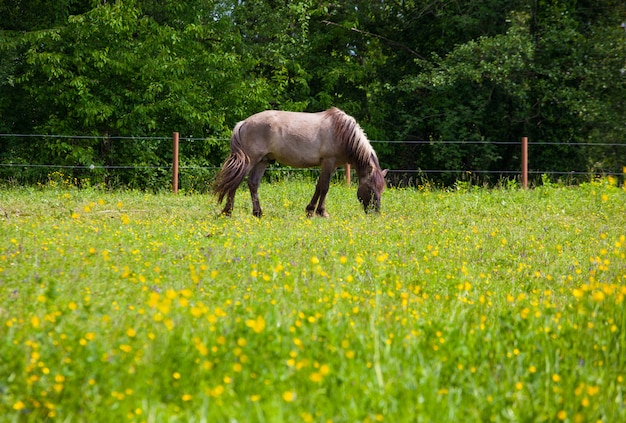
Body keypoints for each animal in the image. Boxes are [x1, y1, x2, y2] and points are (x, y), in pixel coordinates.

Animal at [213, 107, 386, 219]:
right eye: (370, 189)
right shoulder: (328, 162)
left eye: (381, 189)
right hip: (251, 160)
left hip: (263, 161)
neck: (342, 132)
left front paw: (310, 210)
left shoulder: (329, 165)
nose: (375, 213)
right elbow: (325, 187)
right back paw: (228, 212)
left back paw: (258, 213)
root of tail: (243, 123)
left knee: (253, 183)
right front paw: (322, 212)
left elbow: (318, 186)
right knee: (236, 182)